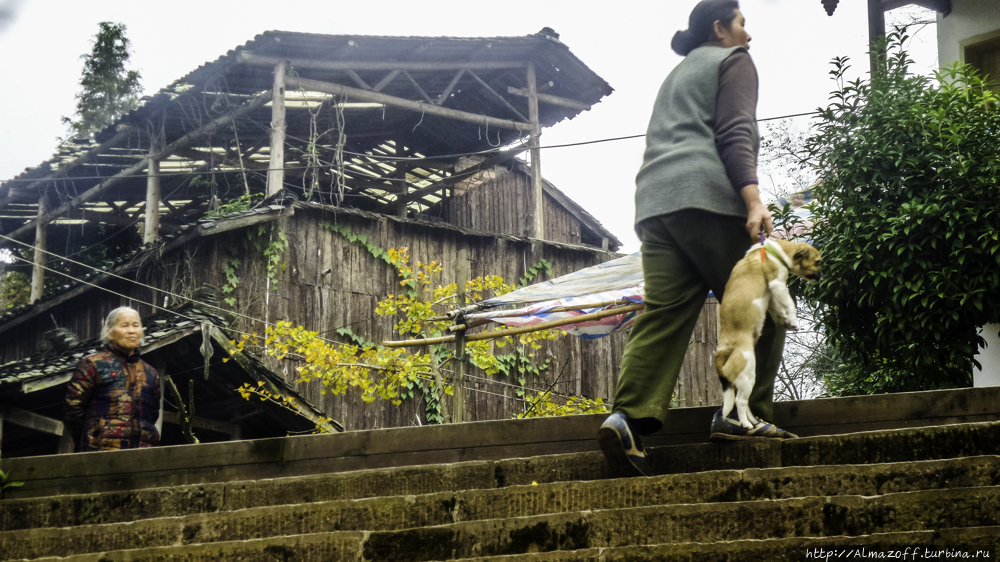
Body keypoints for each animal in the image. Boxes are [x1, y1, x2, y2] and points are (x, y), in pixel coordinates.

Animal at [716, 238, 824, 426]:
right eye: (817, 262)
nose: (821, 276)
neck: (774, 251)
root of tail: (724, 351)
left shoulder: (773, 295)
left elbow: (781, 308)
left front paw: (786, 320)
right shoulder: (777, 284)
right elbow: (790, 305)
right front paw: (793, 320)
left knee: (743, 403)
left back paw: (755, 421)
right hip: (748, 375)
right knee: (740, 402)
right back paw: (746, 424)